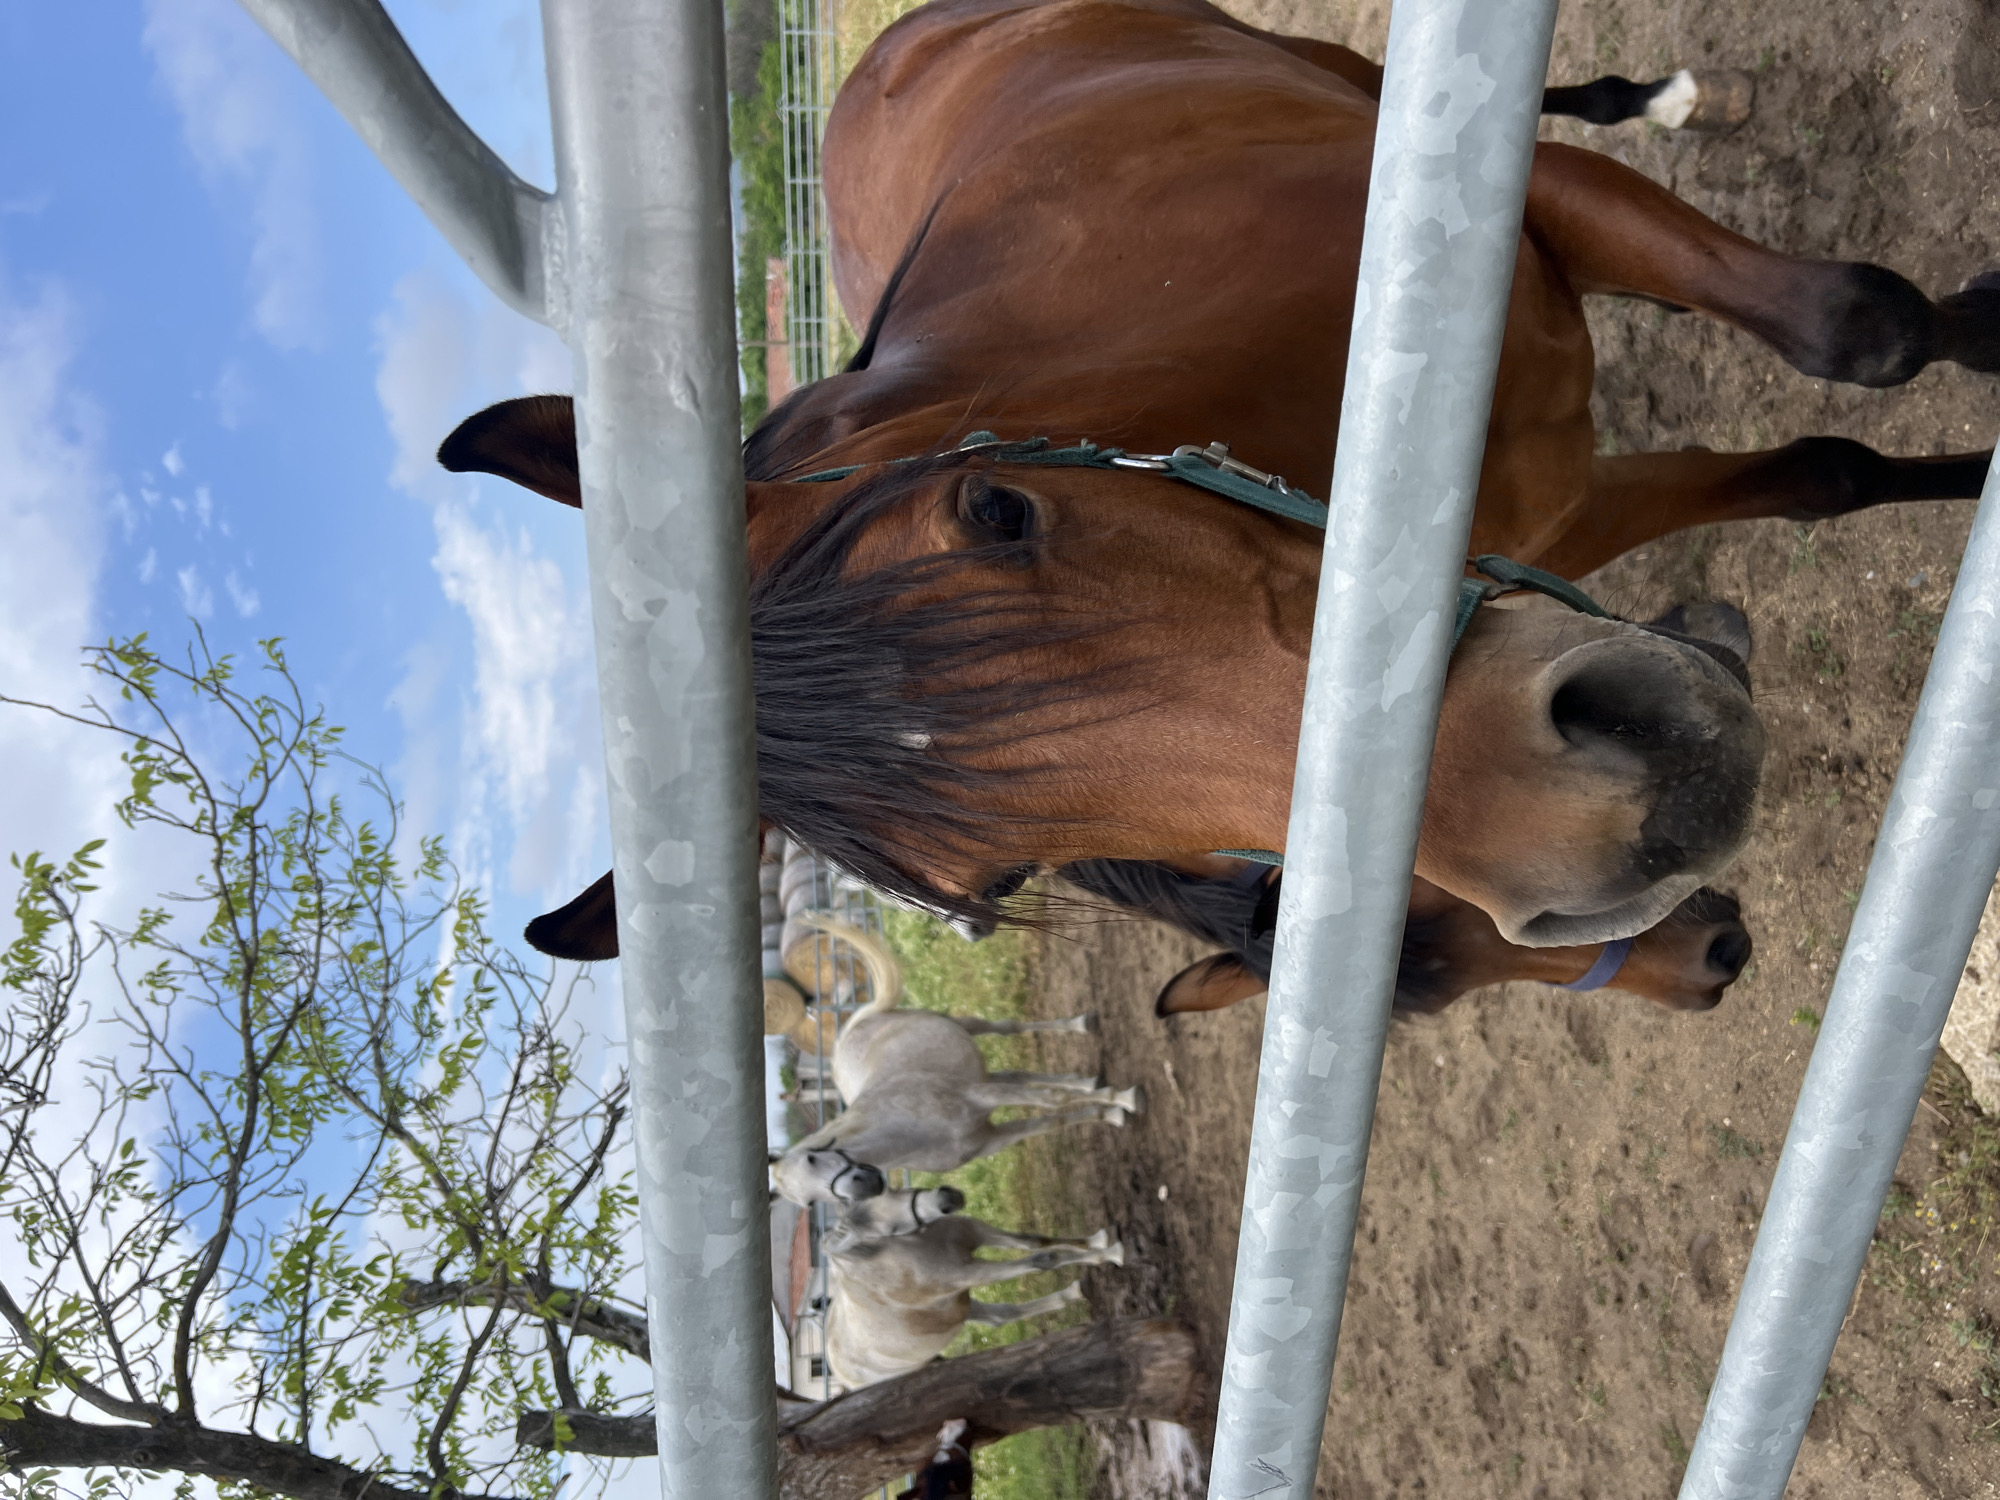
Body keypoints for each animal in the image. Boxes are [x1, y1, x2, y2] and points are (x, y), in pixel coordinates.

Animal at [440, 0, 1995, 957]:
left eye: (994, 511)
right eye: (997, 878)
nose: (1605, 830)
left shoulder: (1540, 203)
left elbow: (1862, 334)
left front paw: (1983, 342)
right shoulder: (1563, 521)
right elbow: (1822, 471)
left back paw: (1668, 95)